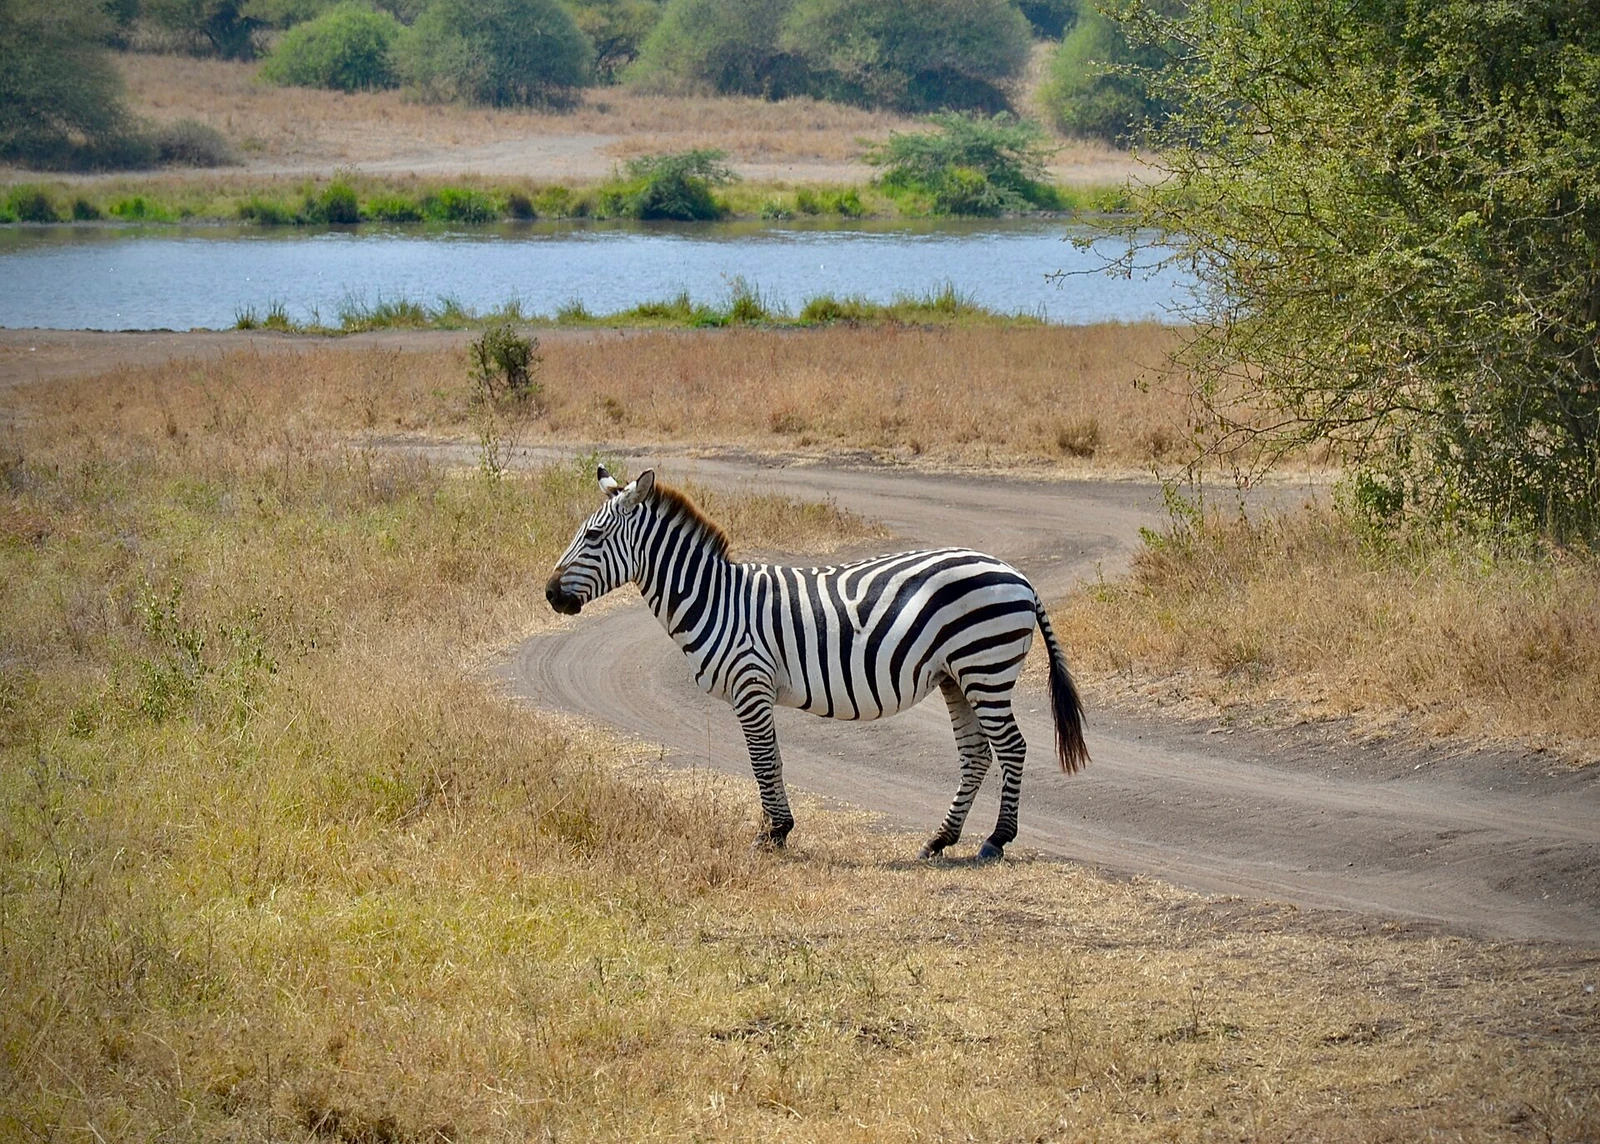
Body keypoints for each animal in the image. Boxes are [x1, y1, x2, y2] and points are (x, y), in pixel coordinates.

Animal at [545, 466, 1089, 860]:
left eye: (593, 538)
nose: (550, 595)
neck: (716, 599)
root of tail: (1018, 576)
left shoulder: (751, 682)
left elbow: (764, 760)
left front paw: (775, 833)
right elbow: (769, 759)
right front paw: (776, 829)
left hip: (985, 668)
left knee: (1012, 747)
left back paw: (996, 840)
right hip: (956, 676)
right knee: (977, 754)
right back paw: (940, 839)